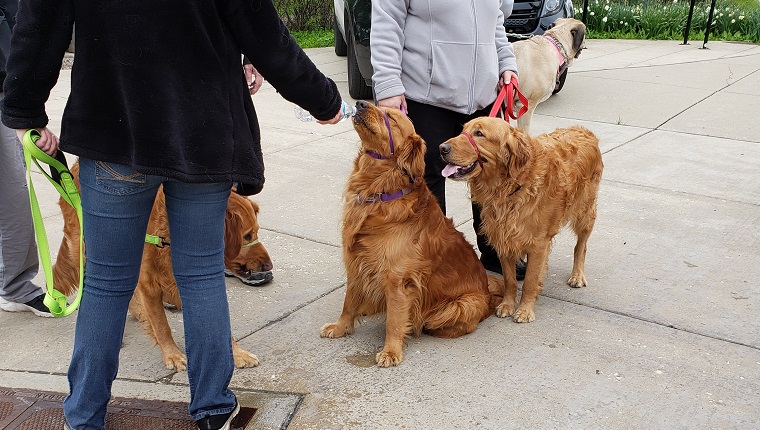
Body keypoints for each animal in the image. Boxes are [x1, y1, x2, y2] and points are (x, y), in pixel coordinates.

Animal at [51, 161, 270, 370]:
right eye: (247, 236)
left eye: (256, 232)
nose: (268, 265)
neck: (169, 237)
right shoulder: (148, 284)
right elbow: (161, 325)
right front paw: (172, 355)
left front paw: (237, 353)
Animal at [320, 101, 502, 366]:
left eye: (392, 117)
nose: (360, 103)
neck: (380, 191)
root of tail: (489, 296)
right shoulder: (356, 263)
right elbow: (349, 302)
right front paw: (340, 327)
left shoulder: (398, 279)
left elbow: (395, 320)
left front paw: (391, 351)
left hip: (459, 306)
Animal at [436, 117, 604, 322]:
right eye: (463, 131)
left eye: (479, 133)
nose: (441, 148)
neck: (510, 188)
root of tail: (583, 130)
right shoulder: (503, 237)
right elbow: (510, 280)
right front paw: (507, 305)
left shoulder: (539, 244)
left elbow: (530, 281)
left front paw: (524, 310)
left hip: (585, 213)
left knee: (581, 246)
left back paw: (577, 275)